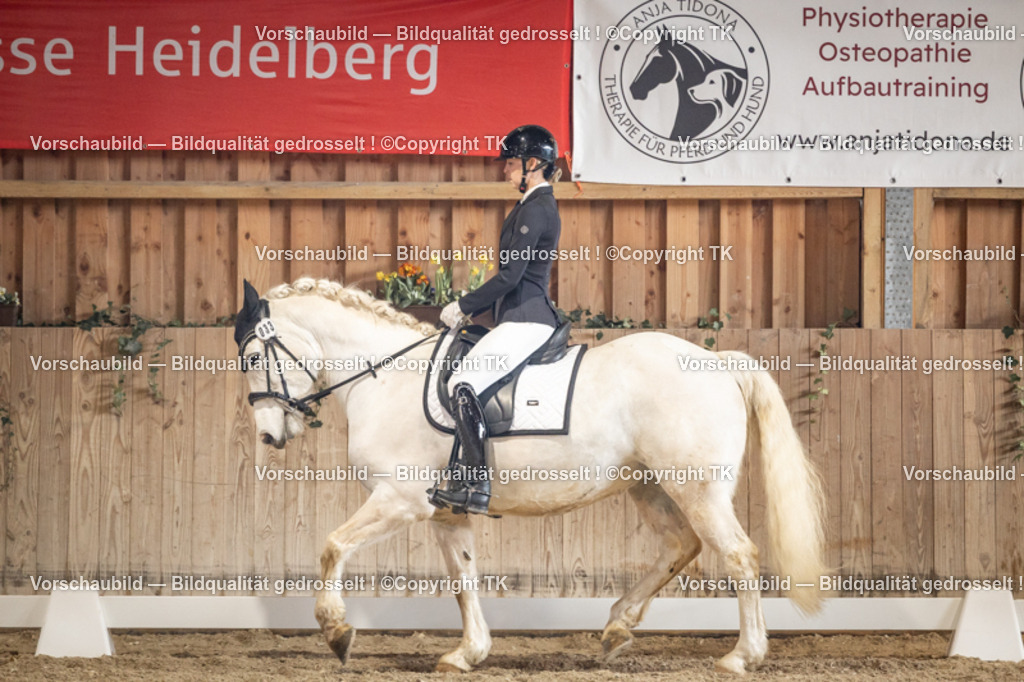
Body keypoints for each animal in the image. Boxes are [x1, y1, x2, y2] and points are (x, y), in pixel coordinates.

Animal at [235, 277, 827, 674]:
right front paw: (467, 653)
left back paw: (741, 656)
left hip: (696, 487)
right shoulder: (445, 512)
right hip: (649, 485)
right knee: (682, 546)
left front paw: (336, 631)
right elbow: (463, 580)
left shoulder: (400, 499)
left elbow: (333, 545)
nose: (267, 436)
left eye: (252, 358)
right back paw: (617, 627)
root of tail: (720, 362)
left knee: (739, 555)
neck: (388, 377)